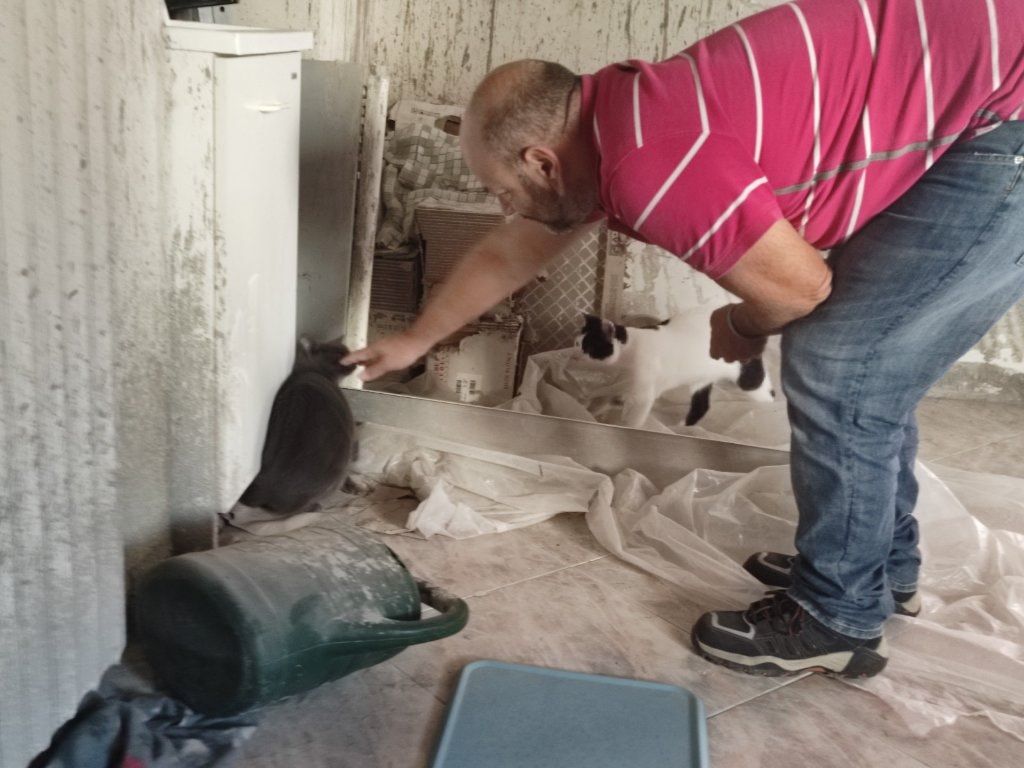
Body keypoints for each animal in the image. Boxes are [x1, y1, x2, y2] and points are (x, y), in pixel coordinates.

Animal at [573, 308, 775, 429]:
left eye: (589, 348)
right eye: (576, 344)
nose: (575, 355)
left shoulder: (642, 395)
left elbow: (634, 419)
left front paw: (626, 428)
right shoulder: (622, 383)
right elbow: (605, 397)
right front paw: (590, 410)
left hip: (749, 381)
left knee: (767, 393)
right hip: (701, 380)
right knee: (701, 406)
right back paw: (681, 427)